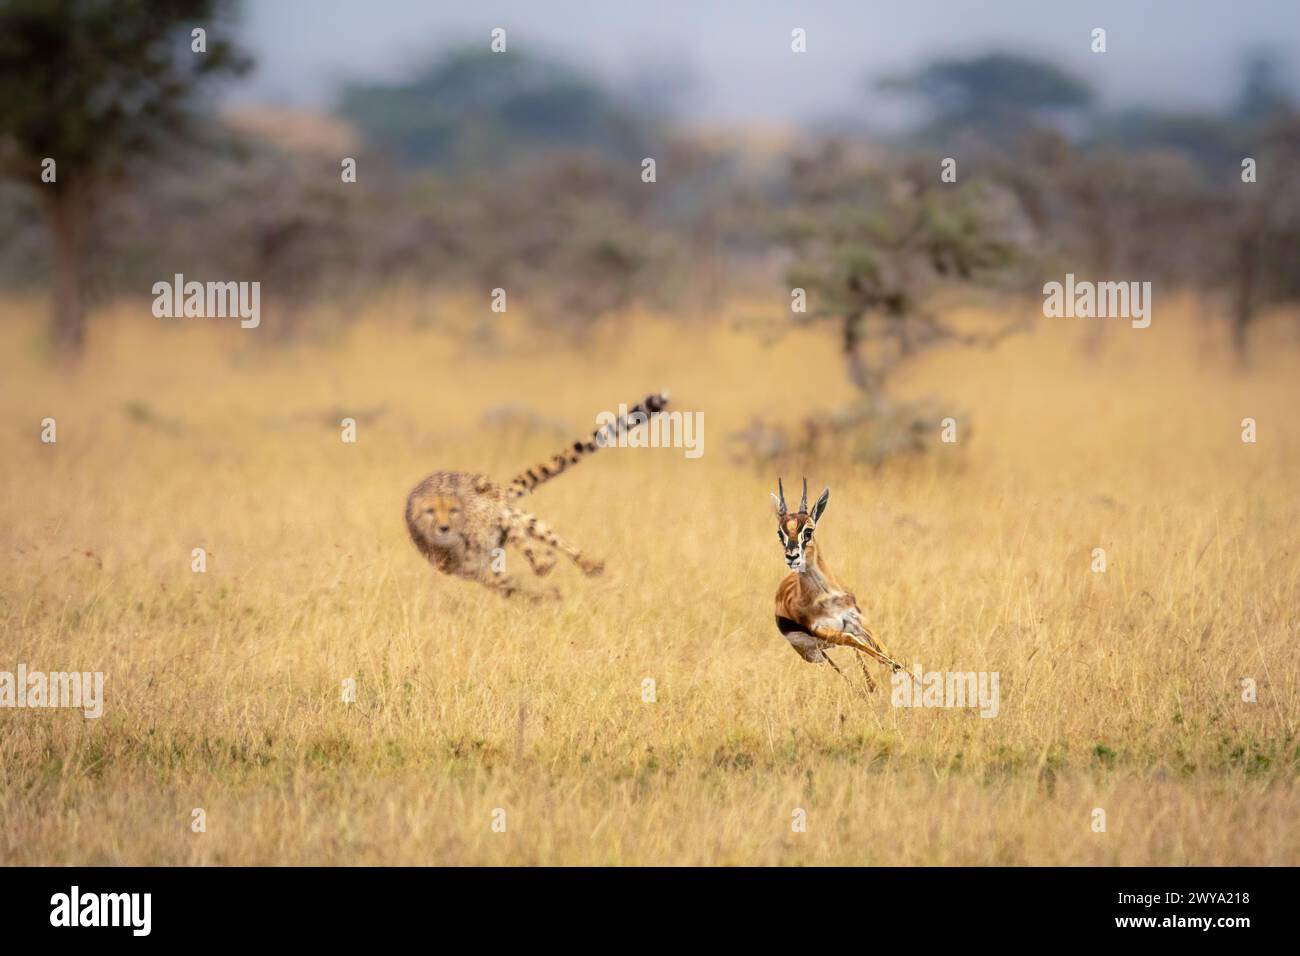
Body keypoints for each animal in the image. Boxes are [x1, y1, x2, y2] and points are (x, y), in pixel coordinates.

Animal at [771, 478, 906, 693]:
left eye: (808, 530)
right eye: (780, 532)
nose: (792, 556)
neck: (824, 596)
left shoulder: (856, 619)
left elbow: (887, 651)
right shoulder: (825, 630)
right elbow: (858, 643)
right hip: (815, 654)